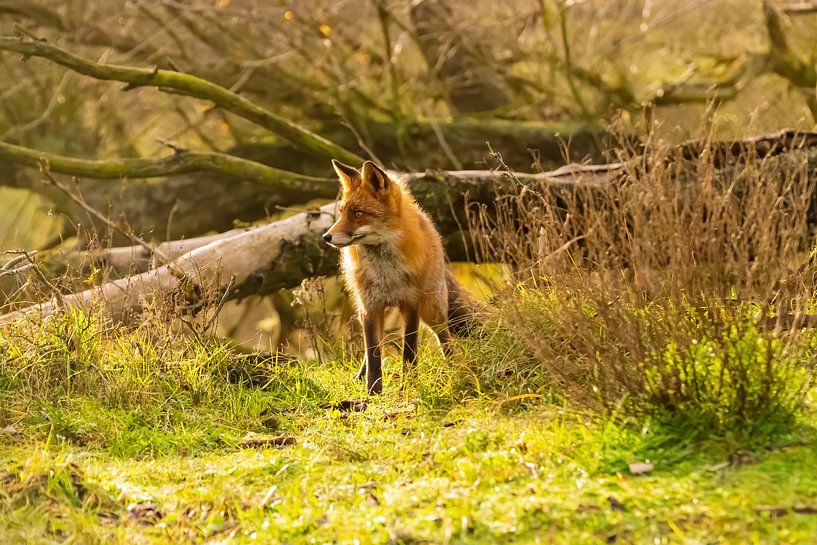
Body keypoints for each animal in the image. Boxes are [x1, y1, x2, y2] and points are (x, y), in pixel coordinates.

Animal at [322, 159, 476, 395]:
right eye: (341, 213)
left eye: (357, 213)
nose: (326, 237)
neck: (386, 273)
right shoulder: (370, 306)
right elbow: (373, 353)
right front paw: (373, 391)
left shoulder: (411, 303)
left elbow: (409, 351)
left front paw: (408, 386)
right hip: (370, 311)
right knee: (372, 346)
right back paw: (359, 377)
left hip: (433, 309)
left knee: (445, 338)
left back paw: (457, 368)